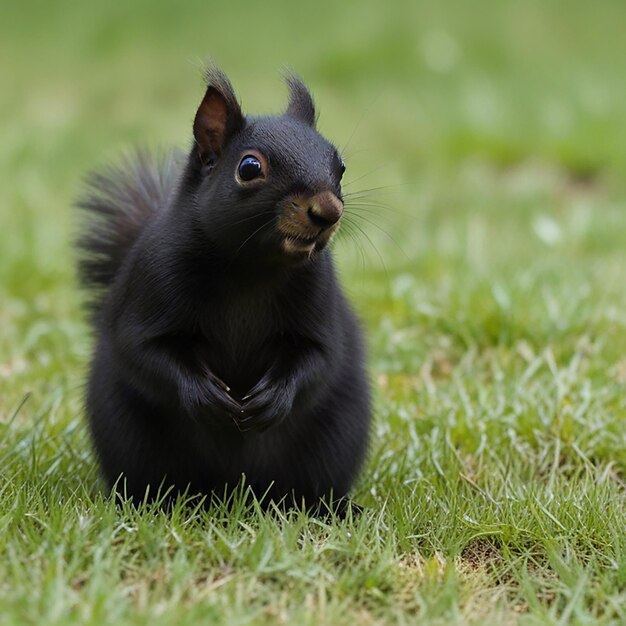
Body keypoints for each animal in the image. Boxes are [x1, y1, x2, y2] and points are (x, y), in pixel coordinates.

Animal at [77, 68, 370, 508]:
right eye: (249, 168)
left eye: (342, 166)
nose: (328, 212)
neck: (250, 266)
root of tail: (232, 493)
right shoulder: (150, 285)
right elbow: (144, 351)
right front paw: (205, 395)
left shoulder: (319, 299)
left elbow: (319, 356)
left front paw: (273, 397)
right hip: (128, 436)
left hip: (335, 439)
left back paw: (333, 508)